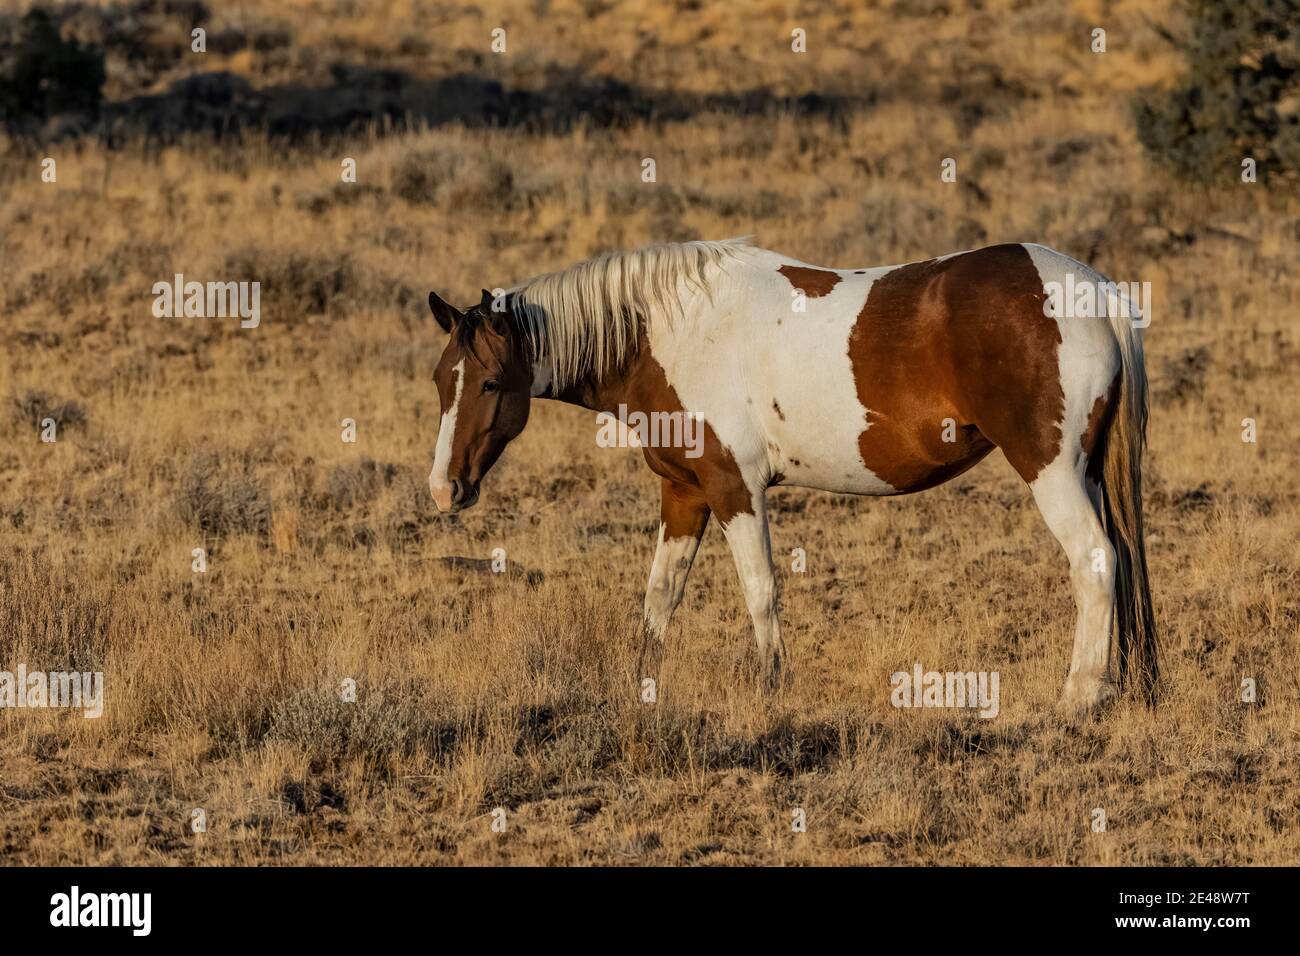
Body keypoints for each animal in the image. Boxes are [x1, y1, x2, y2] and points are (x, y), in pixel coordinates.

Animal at [424, 238, 1157, 716]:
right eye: (439, 380)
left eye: (489, 382)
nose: (443, 489)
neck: (669, 332)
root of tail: (1094, 293)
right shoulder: (683, 494)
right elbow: (660, 597)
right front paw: (643, 688)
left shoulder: (734, 490)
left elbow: (760, 590)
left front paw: (772, 687)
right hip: (1089, 472)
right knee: (1119, 560)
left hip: (1051, 469)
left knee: (1094, 562)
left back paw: (1077, 698)